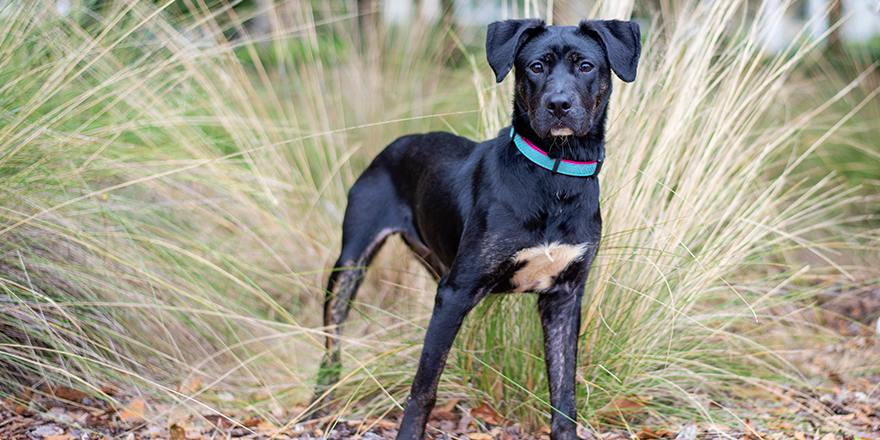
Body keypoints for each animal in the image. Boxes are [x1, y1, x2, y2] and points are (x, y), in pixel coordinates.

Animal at [316, 18, 640, 440]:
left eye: (585, 66)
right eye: (536, 66)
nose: (558, 105)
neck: (555, 177)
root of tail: (393, 146)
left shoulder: (565, 297)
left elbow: (564, 394)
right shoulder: (455, 292)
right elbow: (423, 388)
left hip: (433, 260)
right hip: (350, 263)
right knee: (331, 339)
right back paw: (319, 405)